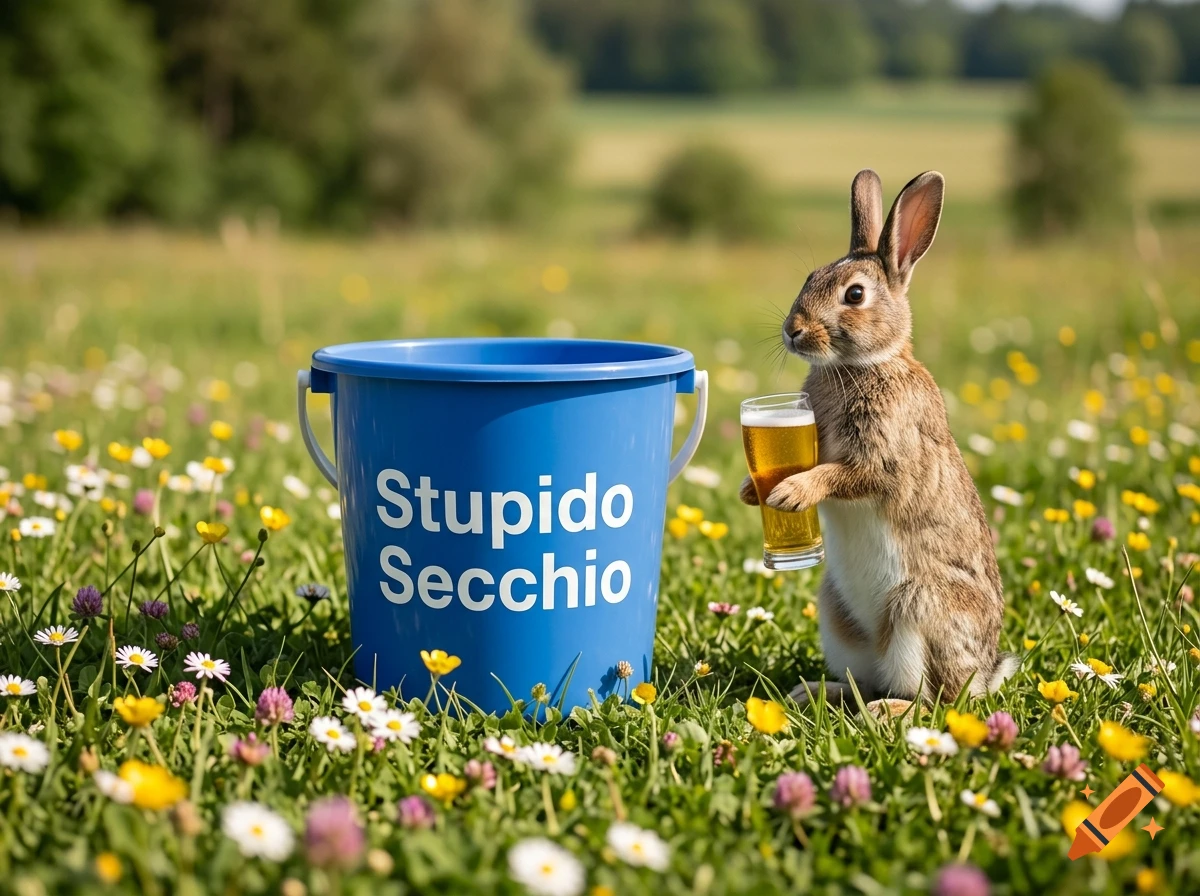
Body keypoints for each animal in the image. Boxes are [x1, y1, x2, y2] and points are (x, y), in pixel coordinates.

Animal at [739, 169, 1017, 712]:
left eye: (854, 295)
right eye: (809, 278)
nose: (792, 331)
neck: (862, 364)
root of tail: (984, 673)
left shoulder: (885, 456)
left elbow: (846, 474)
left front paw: (790, 492)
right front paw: (750, 491)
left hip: (917, 607)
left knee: (935, 701)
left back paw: (889, 711)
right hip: (836, 613)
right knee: (867, 679)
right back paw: (814, 691)